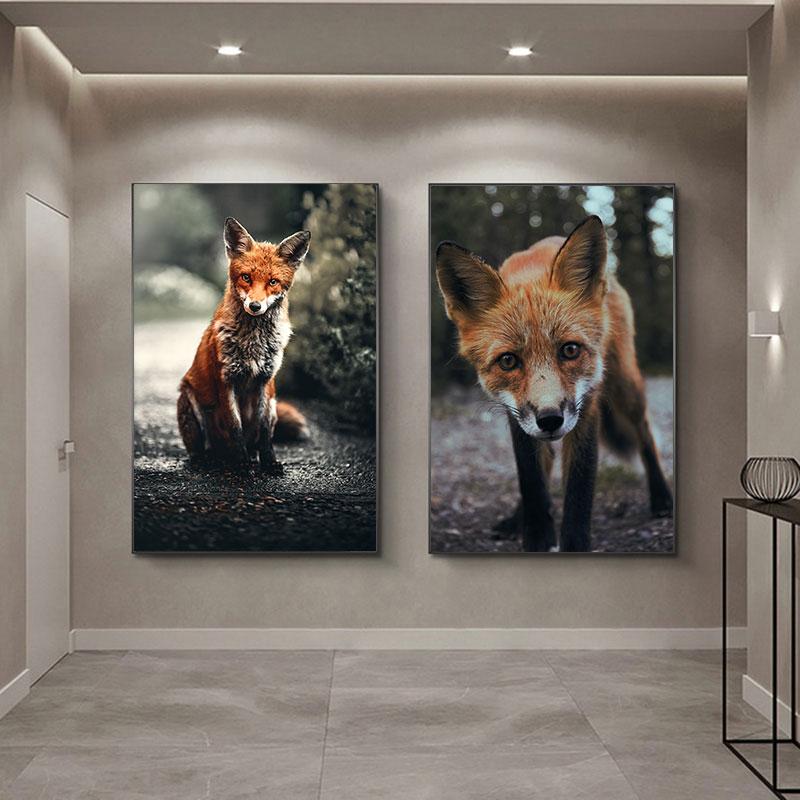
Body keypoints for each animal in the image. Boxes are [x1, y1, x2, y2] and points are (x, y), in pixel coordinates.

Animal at [177, 217, 310, 473]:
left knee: (256, 439)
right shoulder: (225, 380)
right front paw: (242, 464)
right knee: (203, 449)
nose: (255, 306)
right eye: (246, 277)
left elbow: (265, 431)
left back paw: (252, 454)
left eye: (273, 282)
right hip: (189, 399)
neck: (253, 342)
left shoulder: (265, 381)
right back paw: (211, 459)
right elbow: (234, 426)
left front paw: (269, 462)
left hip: (274, 403)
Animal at [435, 215, 673, 552]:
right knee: (545, 463)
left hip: (626, 385)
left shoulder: (587, 406)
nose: (549, 420)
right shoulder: (515, 414)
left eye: (570, 350)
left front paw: (573, 544)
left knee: (645, 435)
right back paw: (516, 518)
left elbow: (579, 487)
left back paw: (662, 497)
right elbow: (531, 478)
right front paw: (536, 536)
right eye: (508, 361)